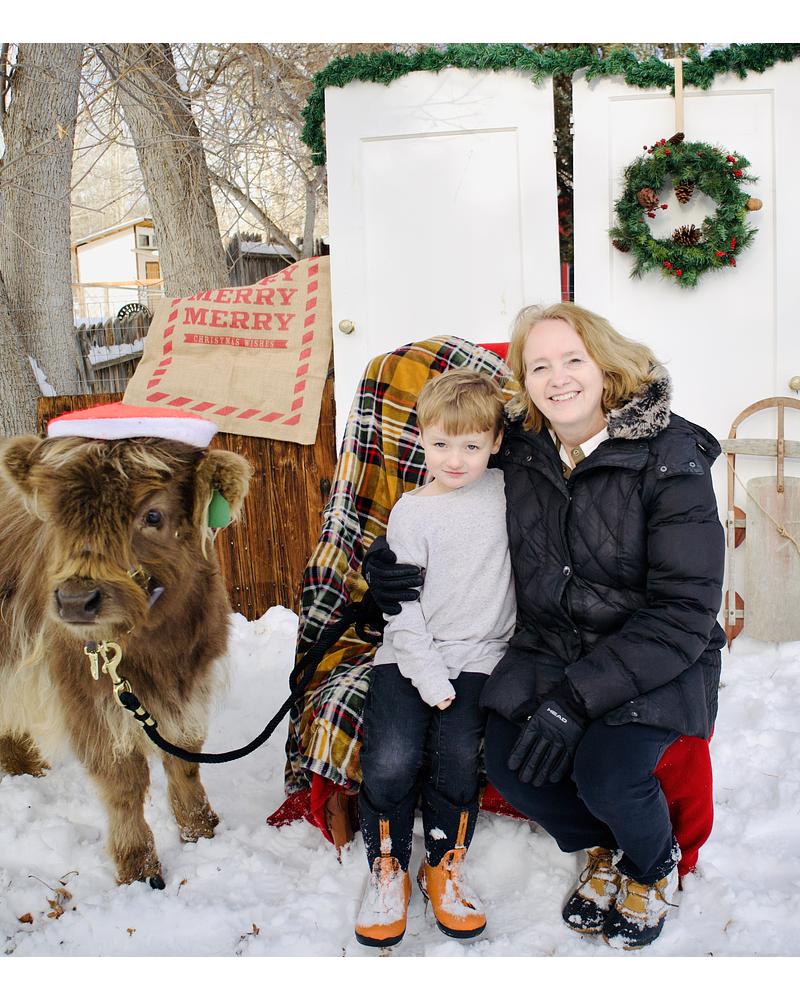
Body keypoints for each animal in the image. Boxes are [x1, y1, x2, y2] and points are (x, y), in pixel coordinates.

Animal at [0, 430, 251, 888]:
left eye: (152, 515)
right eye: (56, 515)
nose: (76, 601)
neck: (159, 652)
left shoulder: (191, 685)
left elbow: (185, 758)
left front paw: (201, 830)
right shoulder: (90, 701)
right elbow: (123, 784)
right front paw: (138, 869)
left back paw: (28, 768)